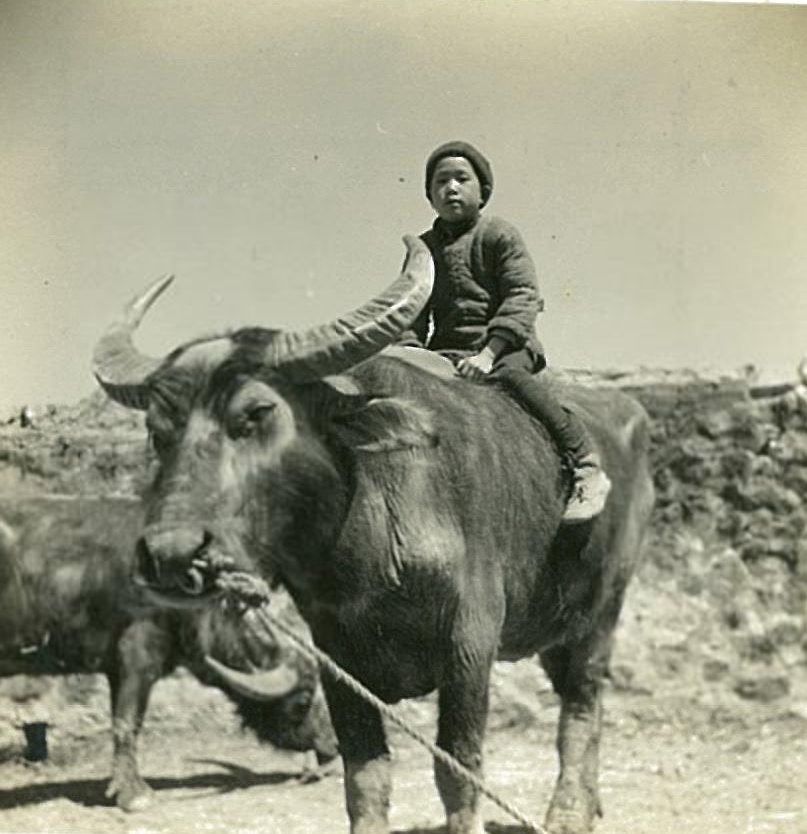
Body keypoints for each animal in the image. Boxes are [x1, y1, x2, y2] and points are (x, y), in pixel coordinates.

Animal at [0, 494, 338, 808]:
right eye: (303, 700)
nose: (332, 743)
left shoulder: (116, 666)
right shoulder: (138, 657)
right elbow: (128, 722)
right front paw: (134, 793)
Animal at [93, 236, 656, 832]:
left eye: (257, 412)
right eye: (158, 431)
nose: (171, 556)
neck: (368, 542)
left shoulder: (470, 646)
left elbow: (458, 769)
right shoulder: (338, 659)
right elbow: (364, 776)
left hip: (602, 611)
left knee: (582, 704)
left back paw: (568, 811)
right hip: (557, 624)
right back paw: (590, 802)